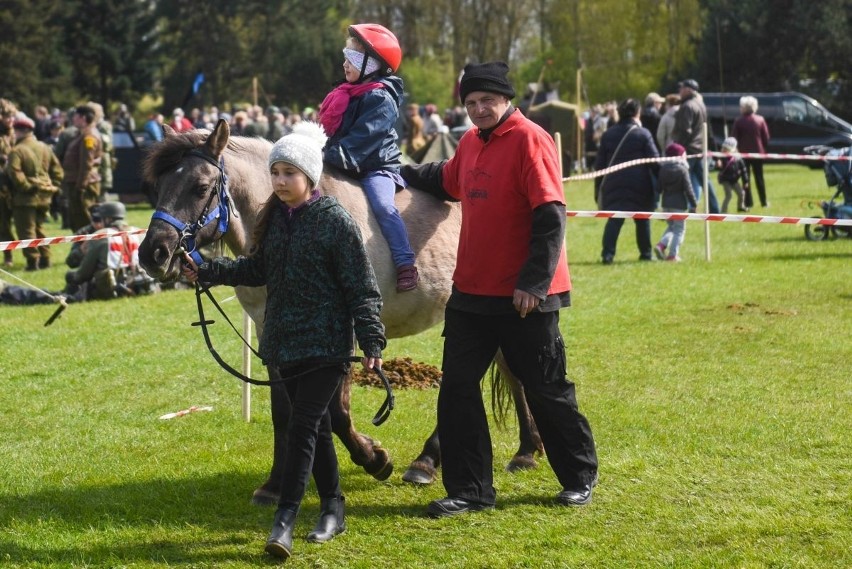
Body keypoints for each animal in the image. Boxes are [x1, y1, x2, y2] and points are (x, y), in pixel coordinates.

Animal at [137, 118, 544, 502]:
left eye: (200, 187)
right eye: (160, 186)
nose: (153, 253)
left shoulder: (343, 332)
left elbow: (335, 412)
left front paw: (374, 458)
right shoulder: (273, 335)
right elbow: (283, 412)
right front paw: (274, 485)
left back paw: (437, 460)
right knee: (505, 371)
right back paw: (522, 449)